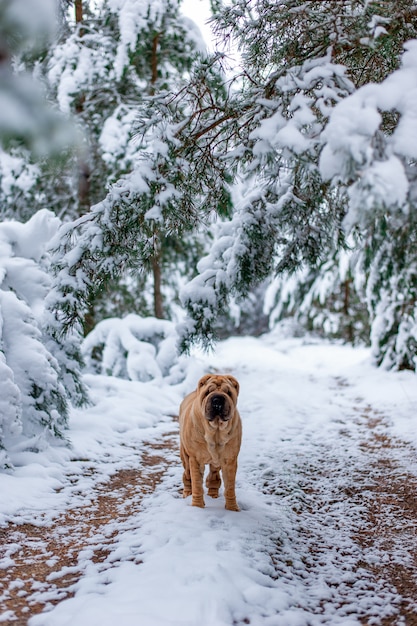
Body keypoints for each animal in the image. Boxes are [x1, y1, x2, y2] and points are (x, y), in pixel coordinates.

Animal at [178, 372, 240, 510]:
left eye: (228, 392)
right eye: (208, 392)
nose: (218, 399)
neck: (215, 432)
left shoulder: (230, 460)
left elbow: (230, 487)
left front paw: (232, 509)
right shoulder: (195, 459)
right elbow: (197, 484)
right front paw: (197, 506)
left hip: (216, 463)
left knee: (213, 476)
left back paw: (213, 495)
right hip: (185, 456)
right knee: (187, 476)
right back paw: (187, 493)